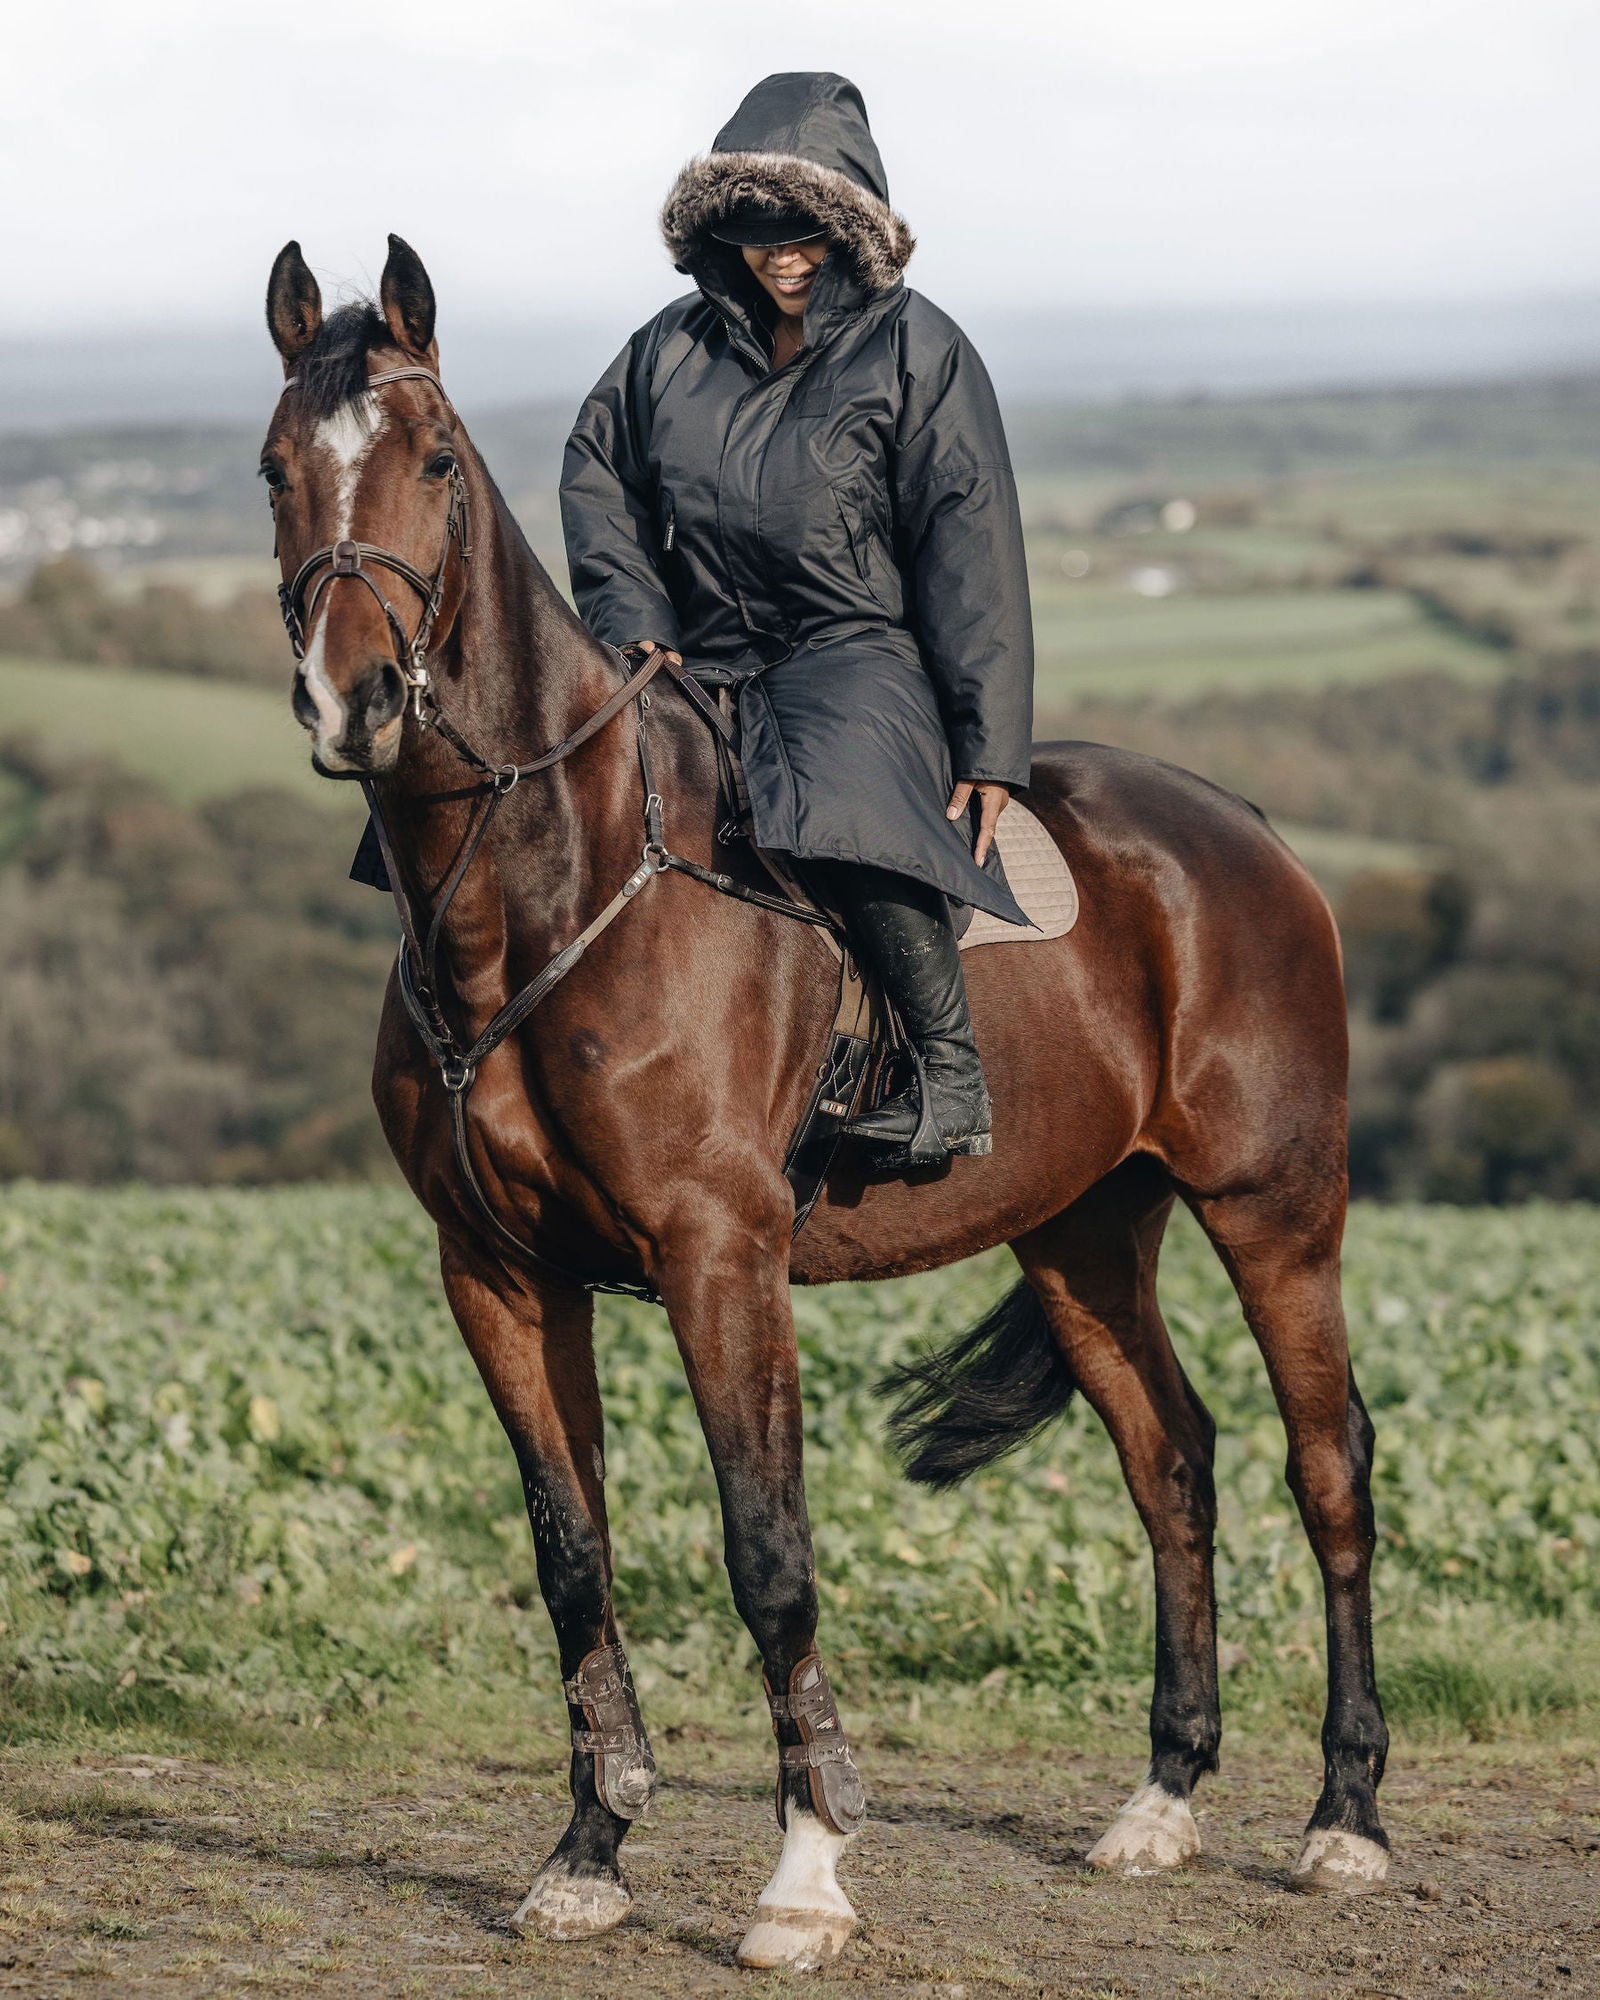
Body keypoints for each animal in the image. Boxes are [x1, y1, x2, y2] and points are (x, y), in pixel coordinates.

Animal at [259, 234, 1389, 1970]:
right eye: (271, 470)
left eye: (436, 459)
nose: (359, 699)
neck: (550, 885)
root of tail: (1246, 831)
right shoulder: (499, 1277)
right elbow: (572, 1558)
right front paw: (589, 1850)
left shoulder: (721, 1259)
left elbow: (768, 1553)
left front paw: (805, 1875)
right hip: (1080, 1234)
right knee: (1173, 1464)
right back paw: (1163, 1801)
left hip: (1275, 1211)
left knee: (1327, 1466)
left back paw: (1343, 1821)